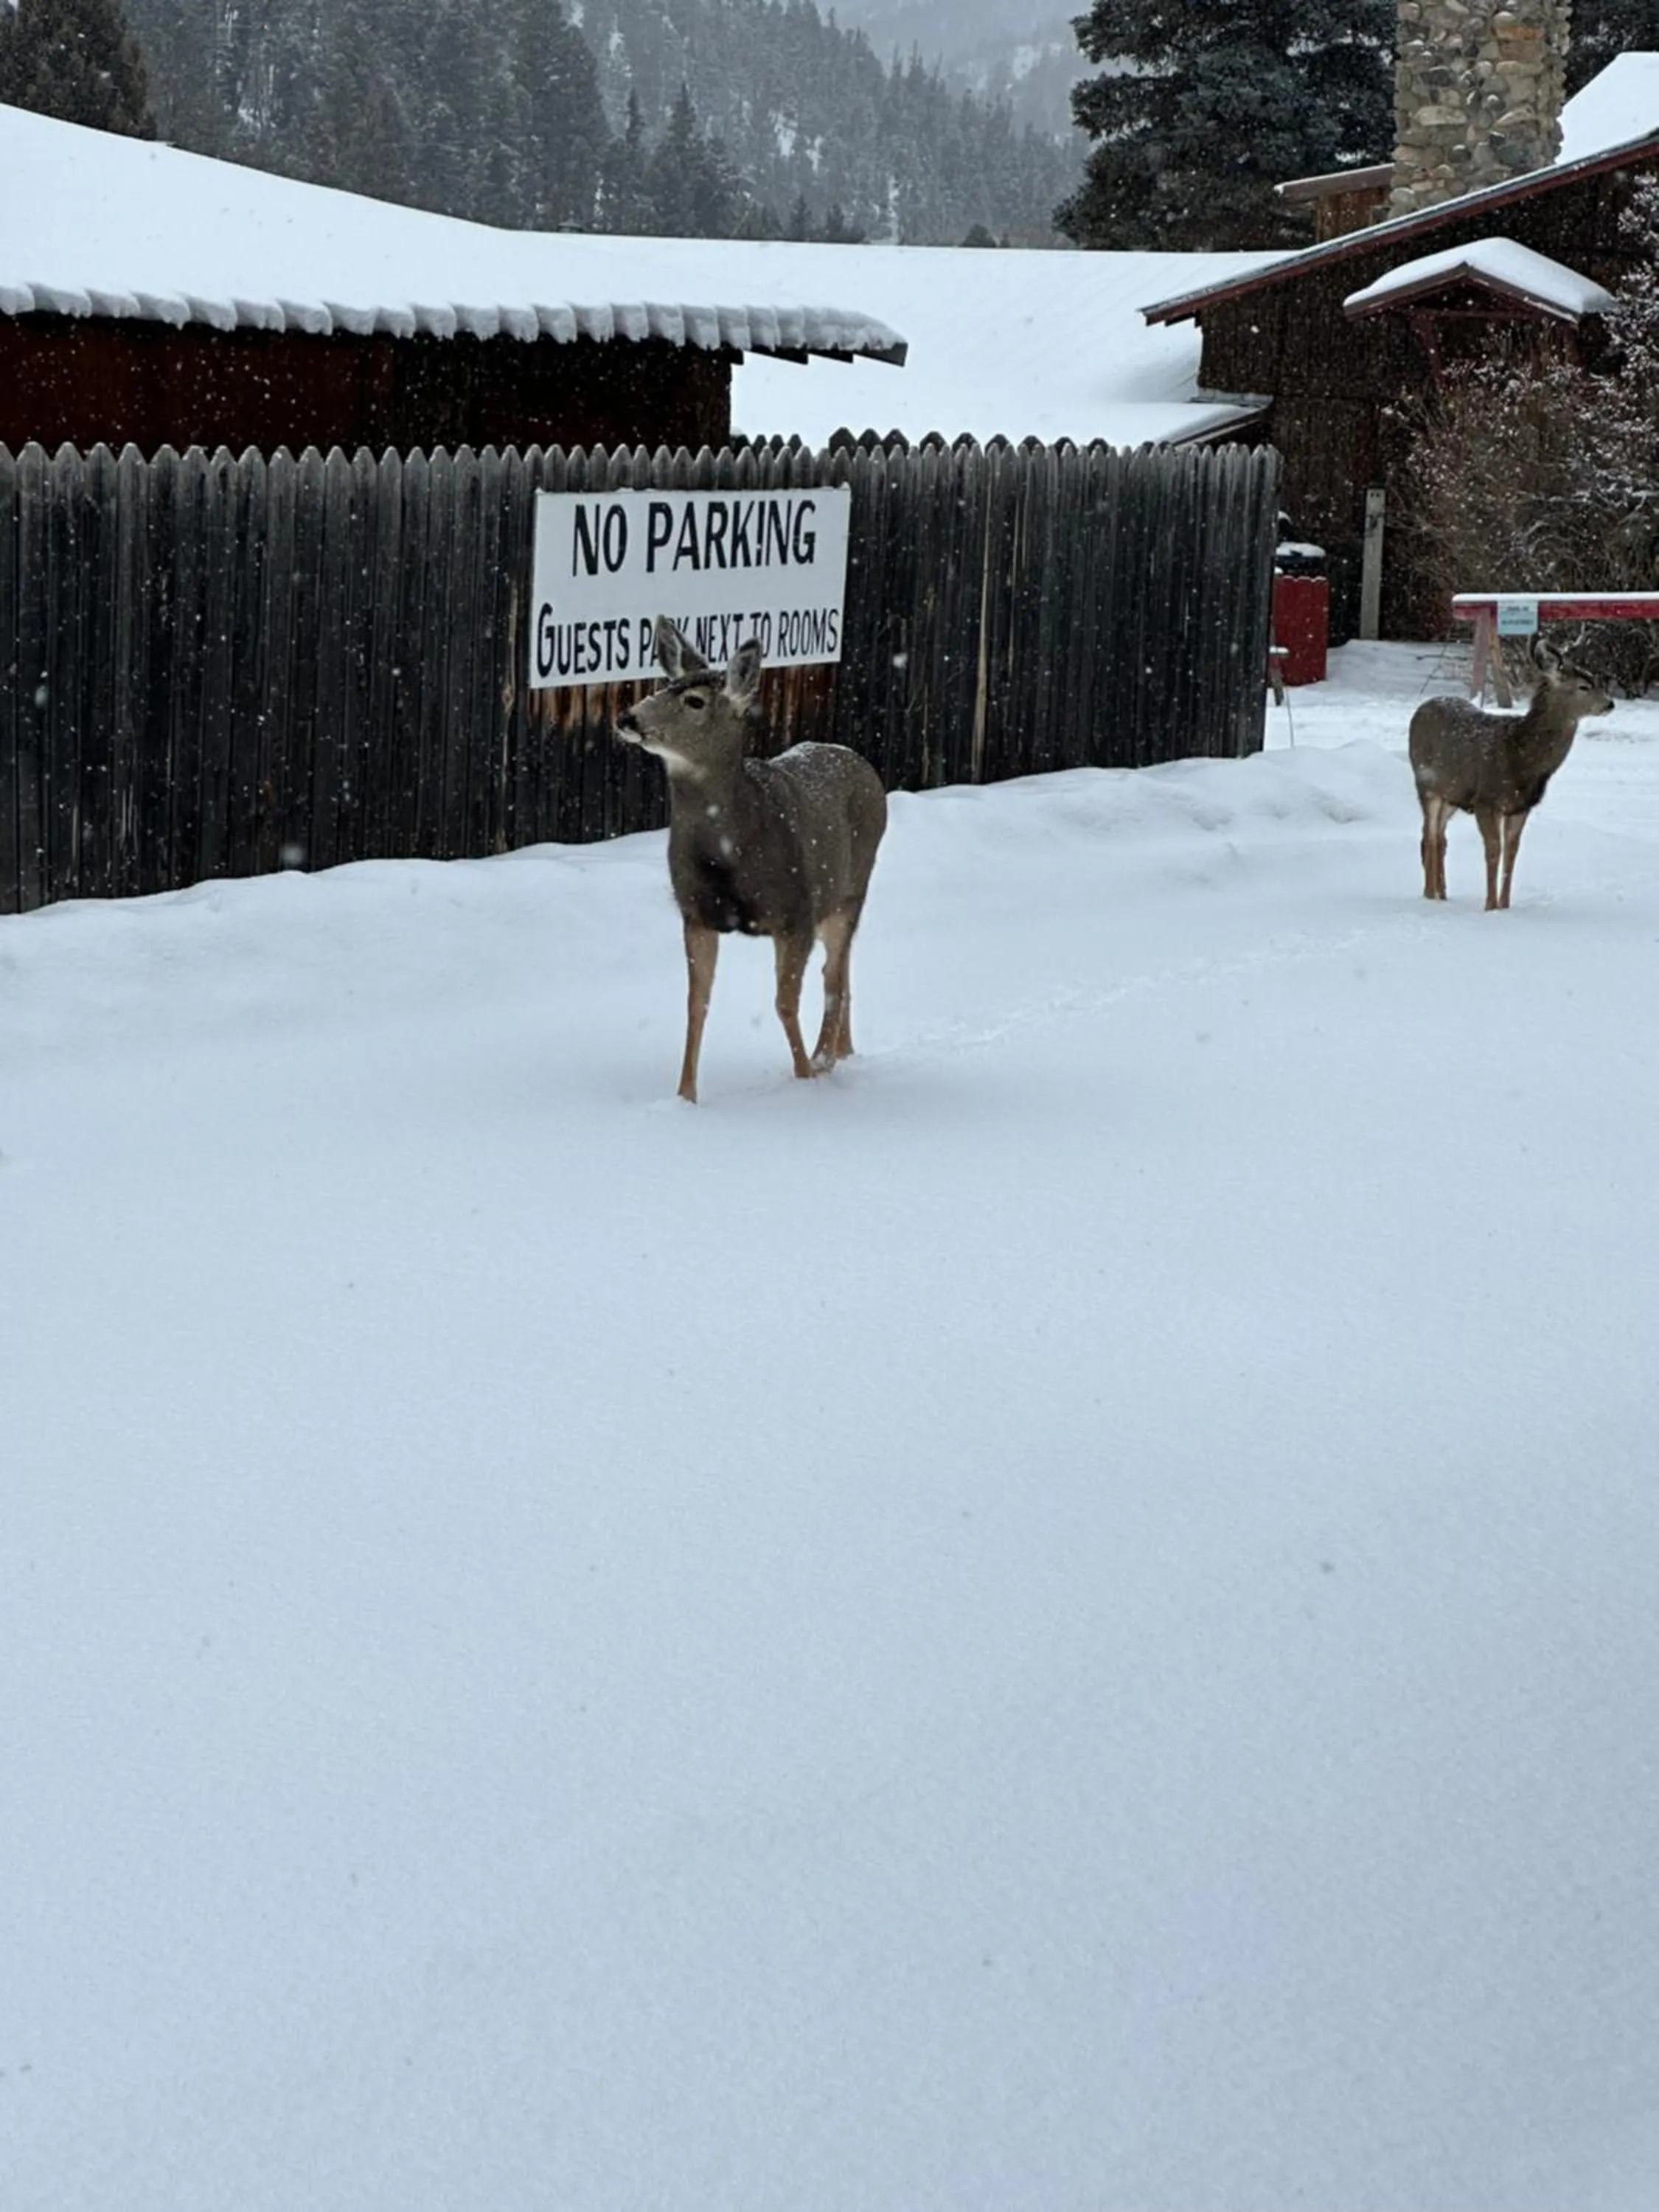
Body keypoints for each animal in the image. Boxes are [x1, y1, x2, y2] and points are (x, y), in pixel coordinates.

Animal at [614, 617, 888, 1104]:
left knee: (833, 977)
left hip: (852, 887)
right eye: (664, 685)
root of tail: (859, 761)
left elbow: (784, 1003)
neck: (730, 854)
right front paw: (686, 1097)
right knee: (842, 971)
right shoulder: (696, 913)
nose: (628, 718)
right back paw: (843, 1051)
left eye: (695, 700)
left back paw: (824, 1059)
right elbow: (696, 1004)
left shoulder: (794, 911)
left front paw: (803, 1078)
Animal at [1408, 638, 1612, 911]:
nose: (1610, 703)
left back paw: (1442, 894)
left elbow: (1512, 851)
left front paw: (1504, 906)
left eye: (1596, 680)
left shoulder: (1519, 806)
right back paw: (1431, 895)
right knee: (1430, 836)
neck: (1520, 756)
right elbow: (1494, 850)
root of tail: (1422, 708)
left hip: (1452, 794)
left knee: (1439, 837)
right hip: (1425, 783)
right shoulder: (1486, 800)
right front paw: (1489, 906)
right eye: (1584, 686)